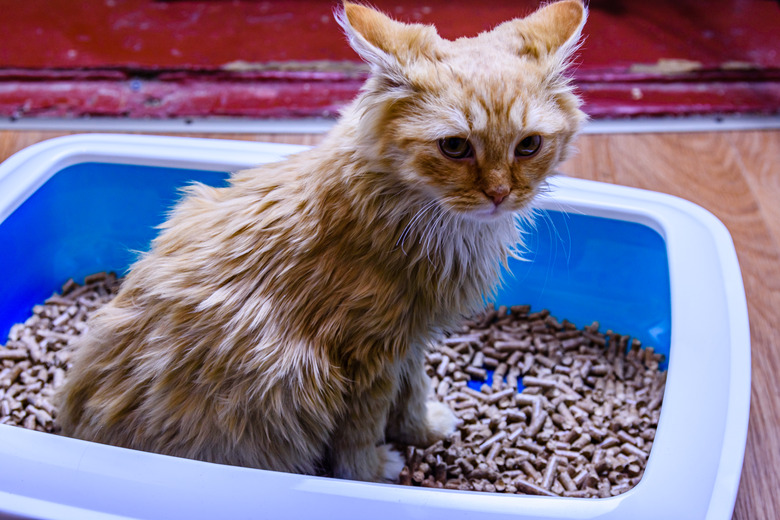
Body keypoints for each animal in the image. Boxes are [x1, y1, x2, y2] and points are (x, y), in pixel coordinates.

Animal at [56, 1, 584, 484]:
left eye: (529, 146)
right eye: (454, 147)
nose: (499, 194)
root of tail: (73, 429)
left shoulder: (411, 342)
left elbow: (413, 395)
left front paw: (424, 431)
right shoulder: (367, 357)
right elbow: (361, 433)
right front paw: (375, 471)